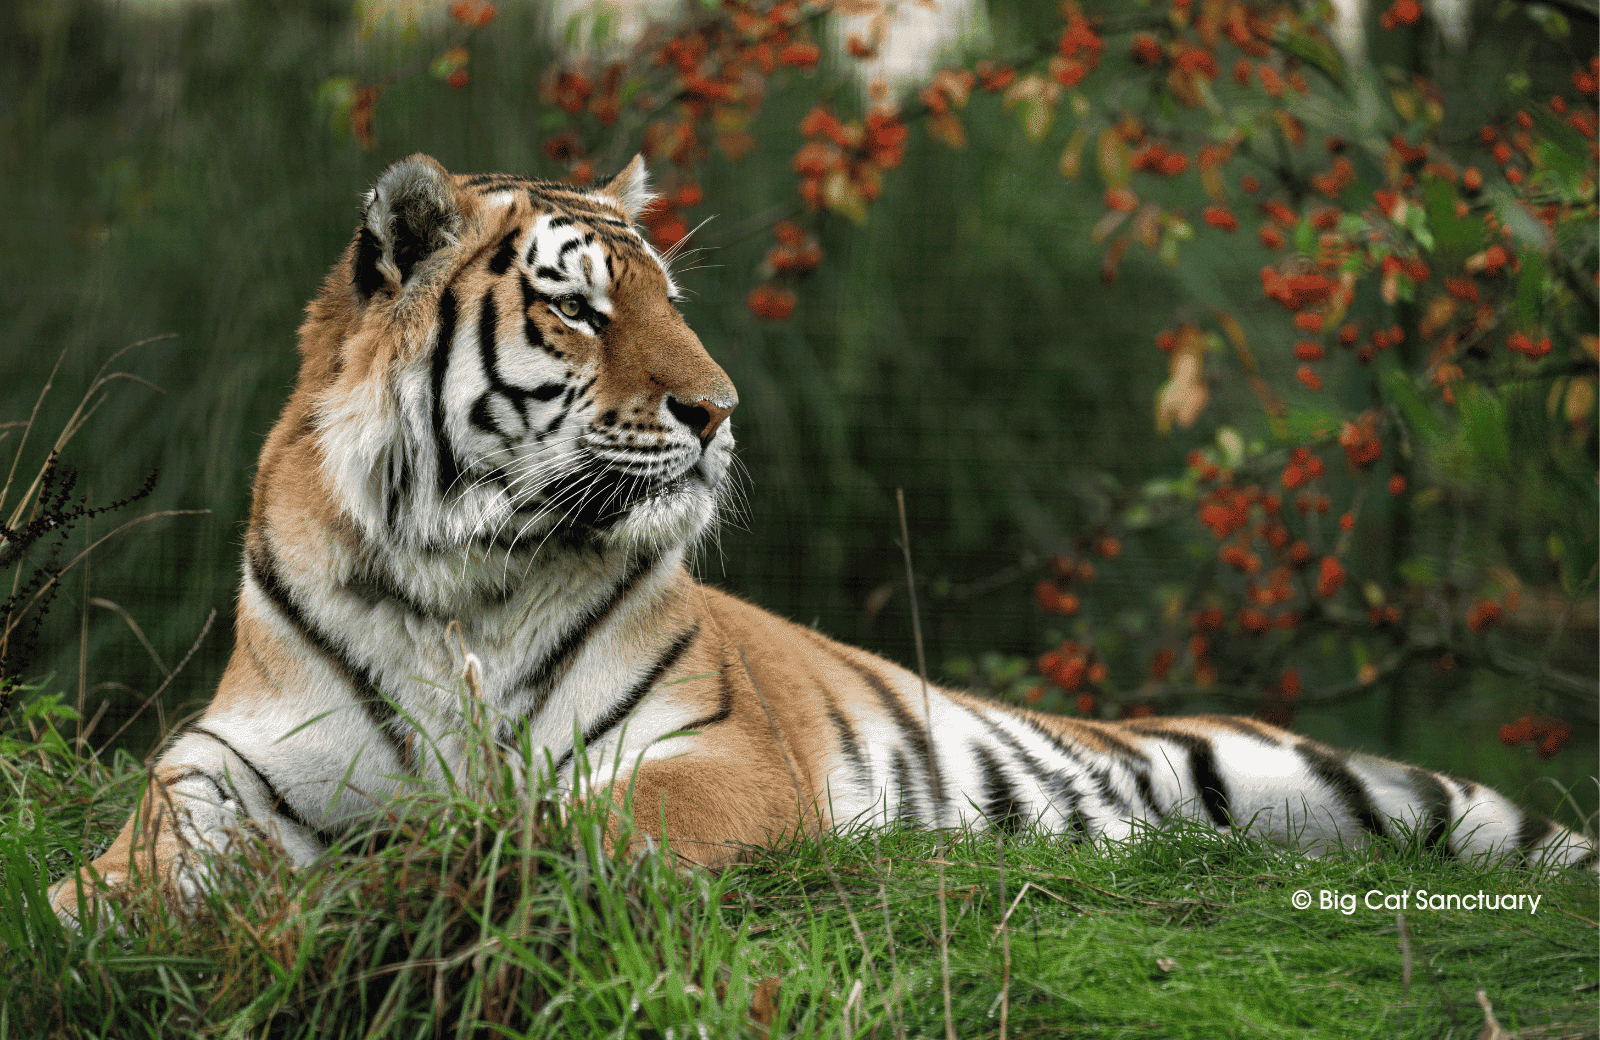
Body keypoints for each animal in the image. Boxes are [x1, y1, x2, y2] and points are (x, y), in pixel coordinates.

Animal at [48, 154, 1595, 922]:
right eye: (579, 307)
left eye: (668, 300)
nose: (721, 410)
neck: (458, 574)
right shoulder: (236, 751)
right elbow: (152, 839)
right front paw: (90, 902)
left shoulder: (709, 750)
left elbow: (598, 818)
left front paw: (456, 865)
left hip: (1321, 777)